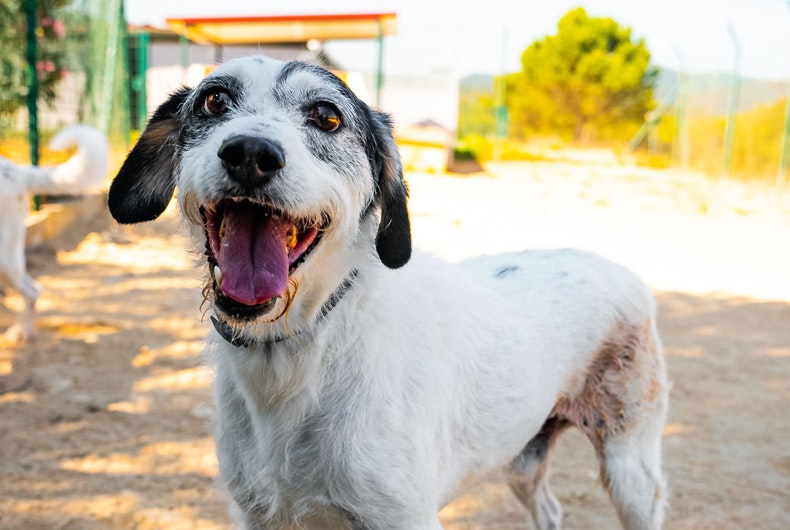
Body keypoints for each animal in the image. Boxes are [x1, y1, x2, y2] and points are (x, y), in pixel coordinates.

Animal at [108, 55, 672, 524]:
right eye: (214, 100)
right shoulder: (258, 514)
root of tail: (617, 268)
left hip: (630, 469)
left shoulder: (403, 516)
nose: (249, 152)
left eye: (326, 116)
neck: (298, 356)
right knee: (550, 507)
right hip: (524, 455)